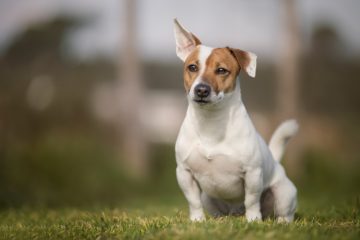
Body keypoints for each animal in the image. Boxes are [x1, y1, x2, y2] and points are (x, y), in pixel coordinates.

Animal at [174, 19, 298, 223]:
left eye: (221, 70)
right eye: (192, 67)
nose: (201, 90)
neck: (211, 122)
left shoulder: (253, 173)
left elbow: (252, 201)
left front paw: (253, 220)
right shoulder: (184, 173)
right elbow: (193, 201)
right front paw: (197, 220)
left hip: (283, 194)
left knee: (284, 213)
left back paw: (280, 222)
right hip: (208, 198)